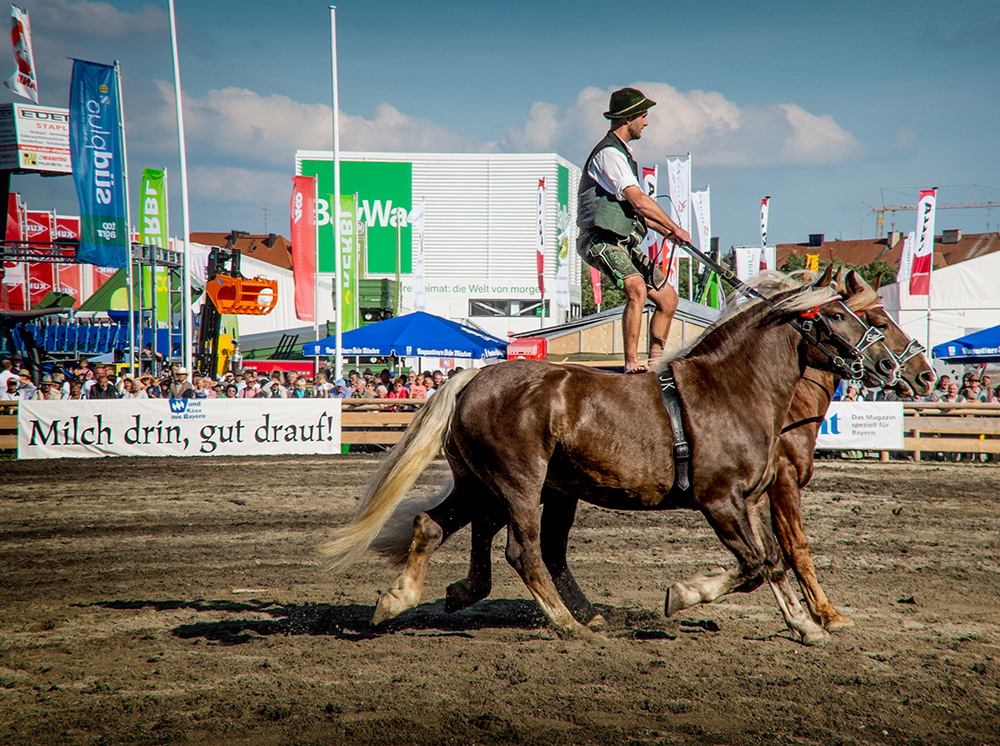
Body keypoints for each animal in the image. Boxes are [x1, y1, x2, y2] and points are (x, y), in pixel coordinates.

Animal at [322, 272, 900, 640]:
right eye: (843, 314)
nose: (894, 367)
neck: (733, 390)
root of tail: (474, 376)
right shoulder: (720, 501)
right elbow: (754, 565)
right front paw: (682, 594)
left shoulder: (754, 499)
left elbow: (774, 562)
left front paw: (805, 625)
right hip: (519, 485)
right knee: (524, 552)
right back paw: (567, 624)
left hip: (485, 484)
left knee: (434, 525)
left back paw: (404, 598)